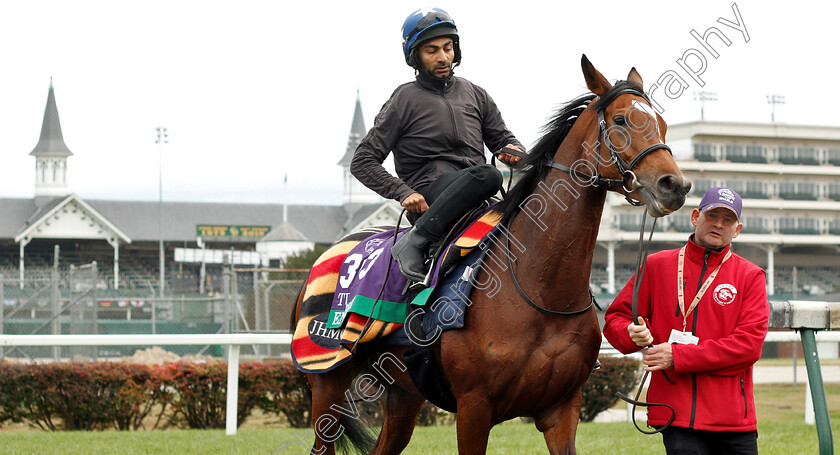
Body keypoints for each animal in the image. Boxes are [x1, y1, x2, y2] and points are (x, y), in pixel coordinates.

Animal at [292, 57, 692, 455]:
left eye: (662, 122)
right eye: (622, 119)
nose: (674, 185)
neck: (540, 287)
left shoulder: (563, 408)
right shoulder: (474, 408)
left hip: (403, 395)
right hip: (326, 383)